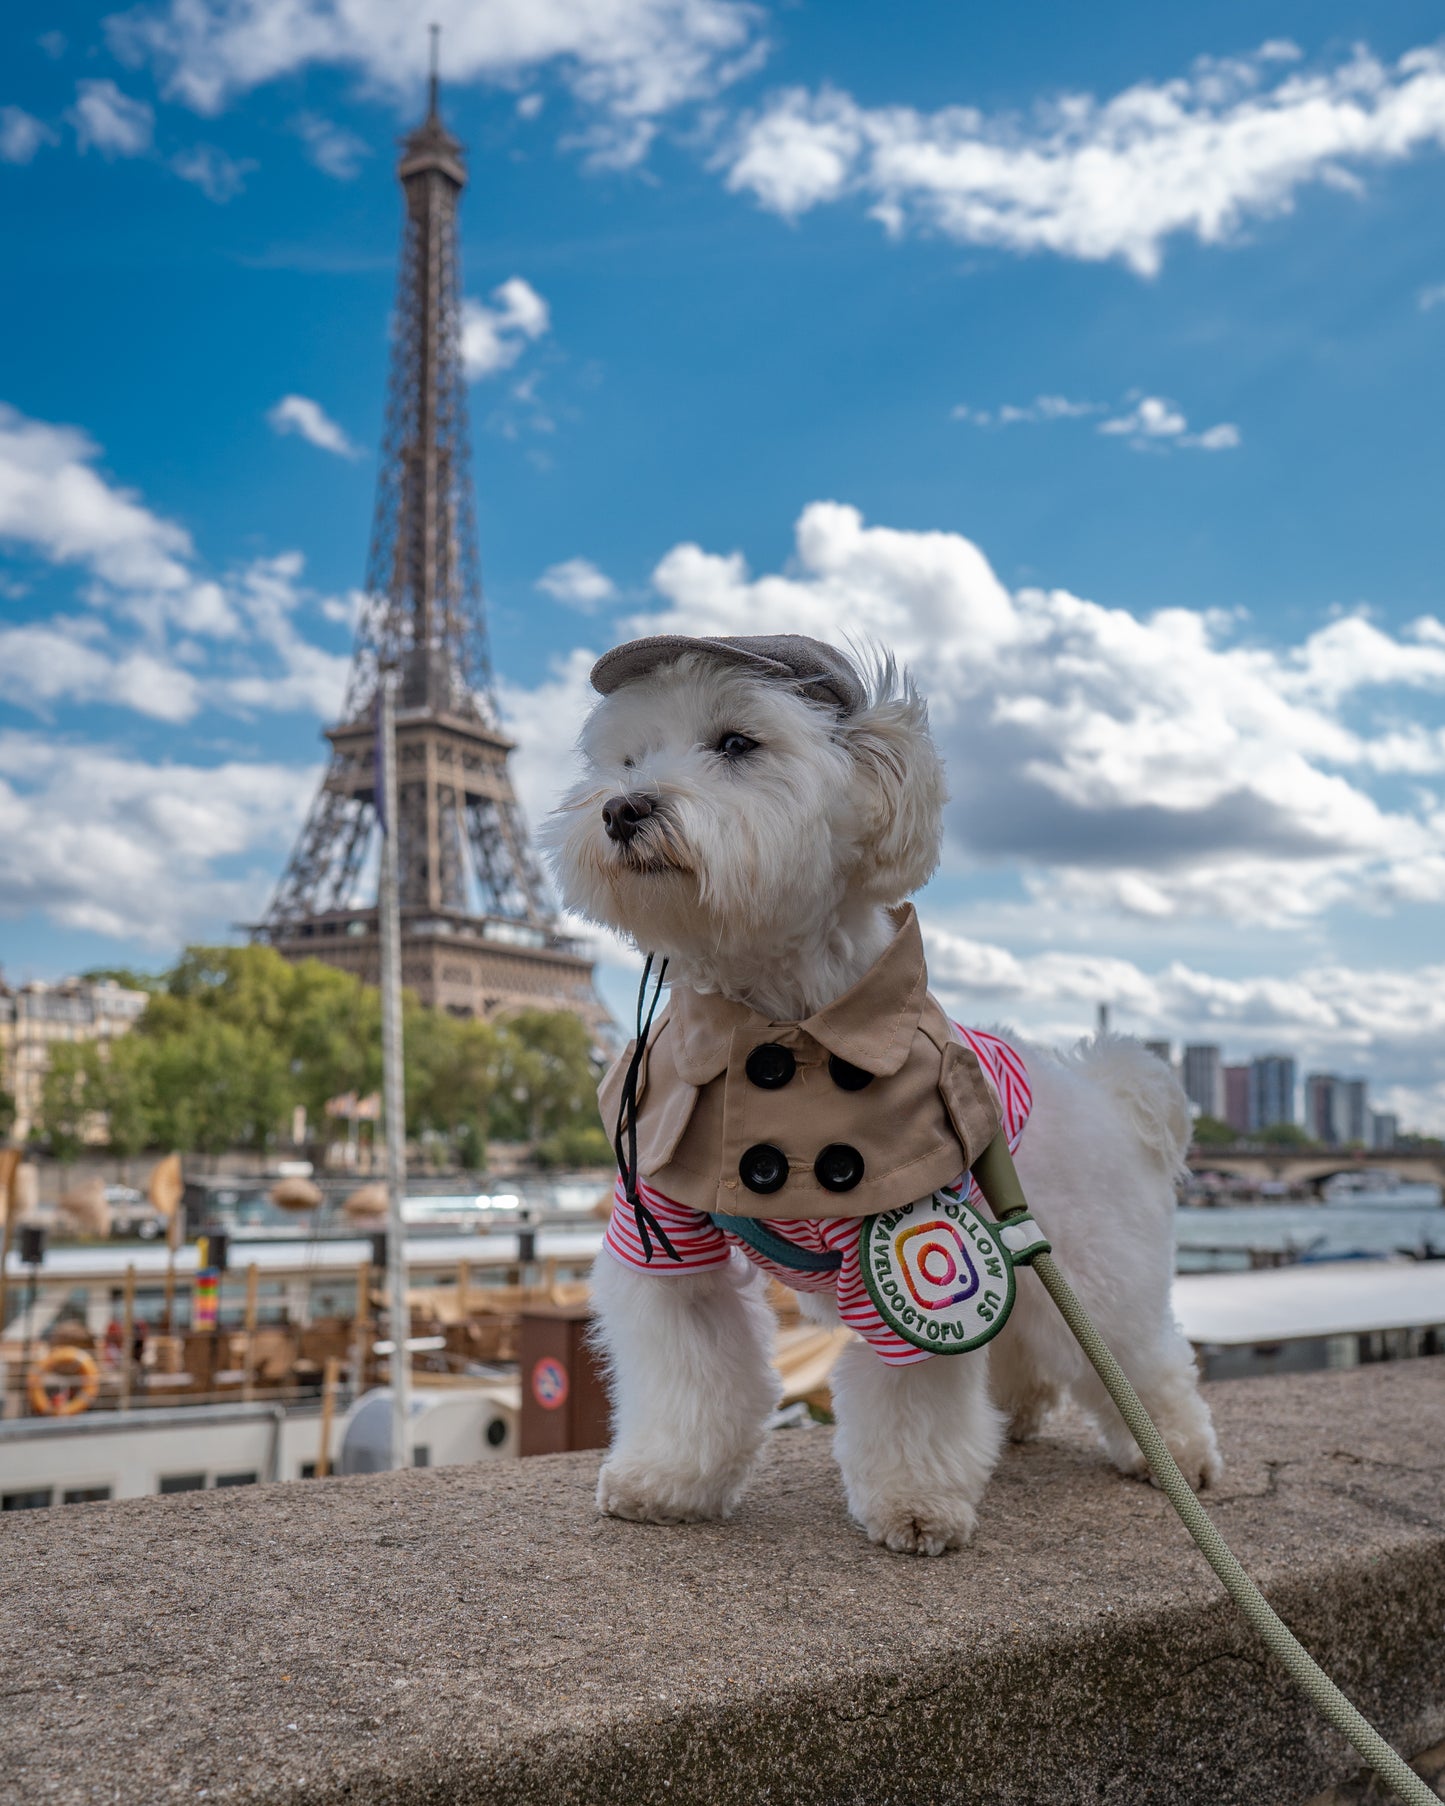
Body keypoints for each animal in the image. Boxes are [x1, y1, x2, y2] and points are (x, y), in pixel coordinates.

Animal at [545, 635, 1221, 1553]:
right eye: (625, 759)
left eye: (736, 744)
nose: (622, 808)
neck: (773, 1026)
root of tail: (1098, 1085)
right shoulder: (666, 1236)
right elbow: (691, 1371)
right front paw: (669, 1479)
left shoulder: (903, 1238)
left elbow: (913, 1398)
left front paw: (914, 1501)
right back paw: (1019, 1416)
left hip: (1092, 1265)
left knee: (1141, 1358)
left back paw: (1175, 1452)